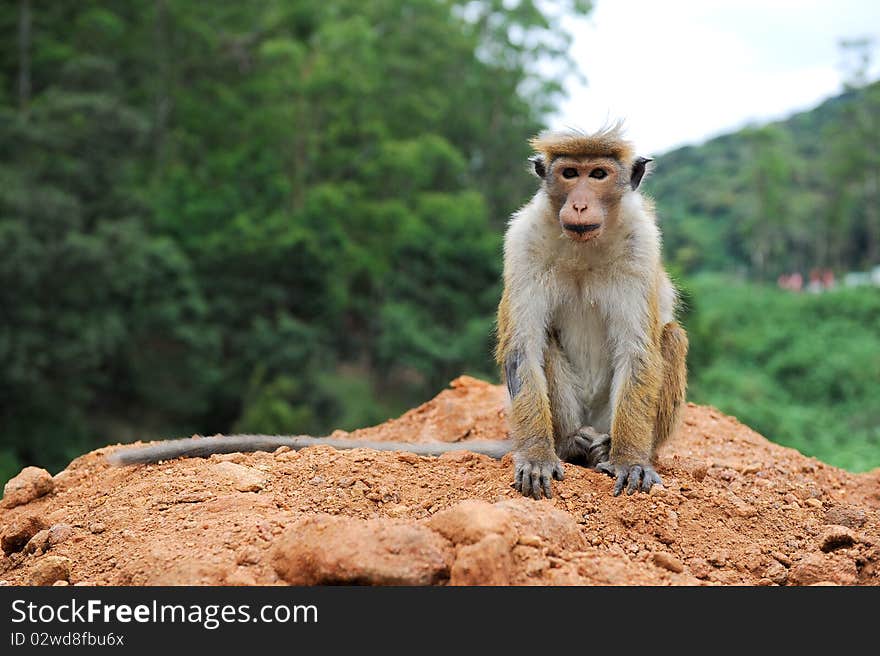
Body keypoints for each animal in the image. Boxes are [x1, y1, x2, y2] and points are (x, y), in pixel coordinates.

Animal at [496, 123, 688, 500]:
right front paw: (537, 457)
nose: (580, 204)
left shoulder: (641, 243)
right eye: (570, 174)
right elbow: (523, 350)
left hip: (606, 415)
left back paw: (609, 446)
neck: (583, 247)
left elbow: (637, 350)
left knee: (671, 336)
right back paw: (571, 444)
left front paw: (629, 460)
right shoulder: (523, 241)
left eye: (598, 174)